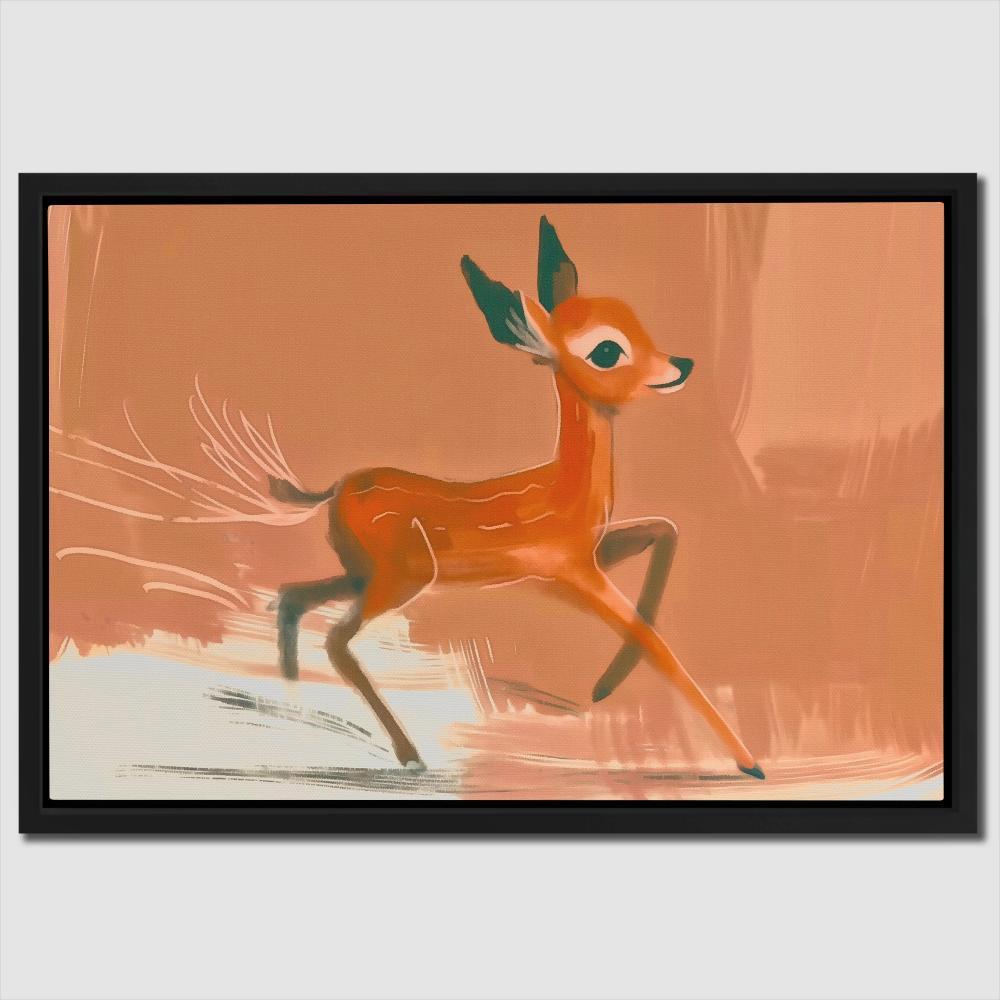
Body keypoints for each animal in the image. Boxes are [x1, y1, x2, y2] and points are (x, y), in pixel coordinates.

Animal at [268, 217, 765, 780]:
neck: (565, 489)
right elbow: (660, 645)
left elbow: (667, 532)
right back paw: (410, 755)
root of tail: (334, 490)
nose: (681, 364)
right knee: (335, 639)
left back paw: (292, 705)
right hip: (402, 578)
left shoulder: (579, 563)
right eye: (607, 350)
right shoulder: (573, 573)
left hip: (363, 574)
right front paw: (750, 764)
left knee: (292, 597)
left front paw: (604, 685)